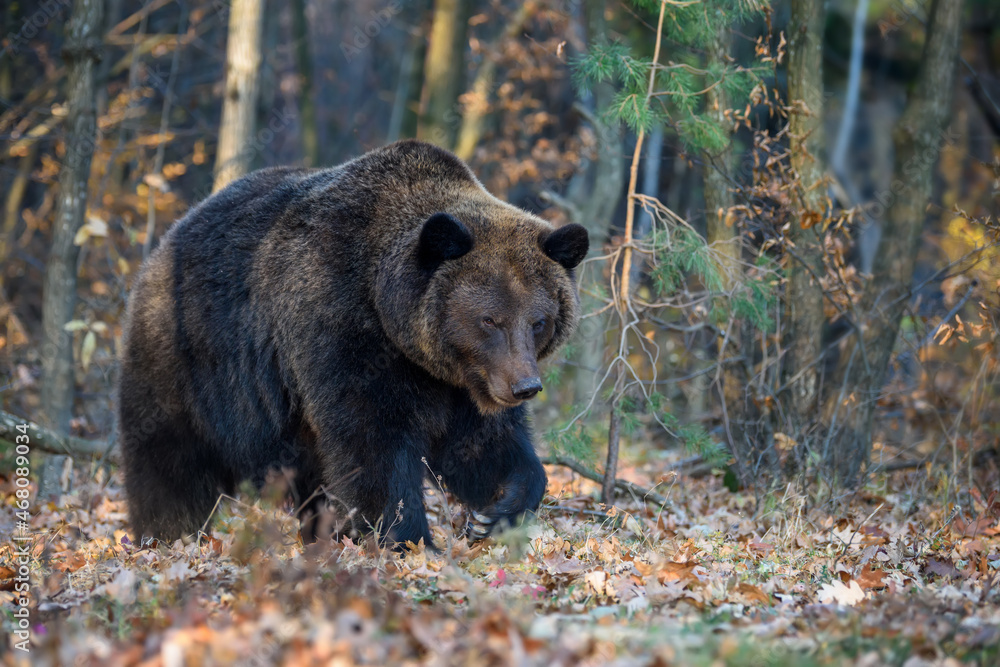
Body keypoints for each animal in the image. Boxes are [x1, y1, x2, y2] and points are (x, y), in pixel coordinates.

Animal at [118, 139, 589, 548]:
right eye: (489, 319)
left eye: (538, 321)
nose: (524, 387)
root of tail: (166, 241)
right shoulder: (339, 329)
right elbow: (372, 445)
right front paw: (407, 539)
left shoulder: (463, 383)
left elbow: (484, 447)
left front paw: (494, 512)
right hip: (189, 360)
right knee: (170, 460)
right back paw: (168, 534)